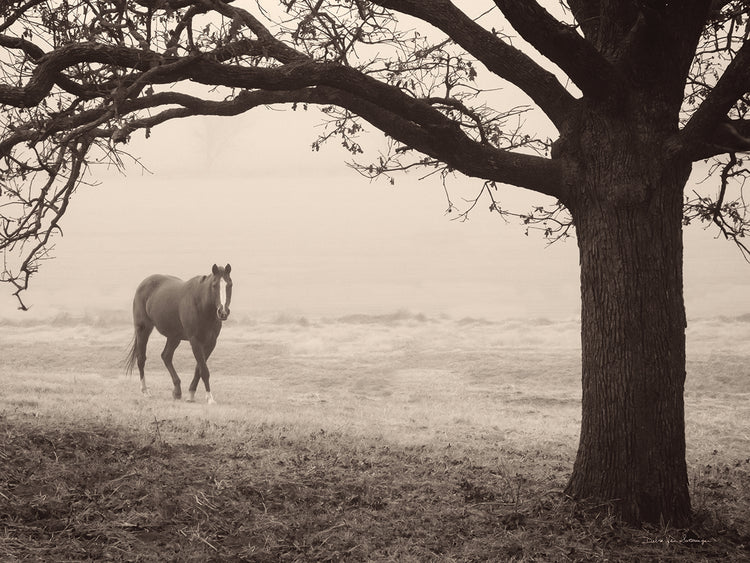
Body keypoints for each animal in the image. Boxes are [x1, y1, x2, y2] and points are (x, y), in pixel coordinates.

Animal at [125, 264, 233, 404]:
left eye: (229, 284)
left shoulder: (210, 343)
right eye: (214, 285)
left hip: (173, 337)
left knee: (166, 356)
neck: (201, 305)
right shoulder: (195, 341)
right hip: (143, 329)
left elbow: (199, 368)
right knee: (141, 358)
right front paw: (209, 398)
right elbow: (204, 370)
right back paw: (146, 391)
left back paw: (177, 391)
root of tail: (143, 284)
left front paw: (191, 394)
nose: (223, 312)